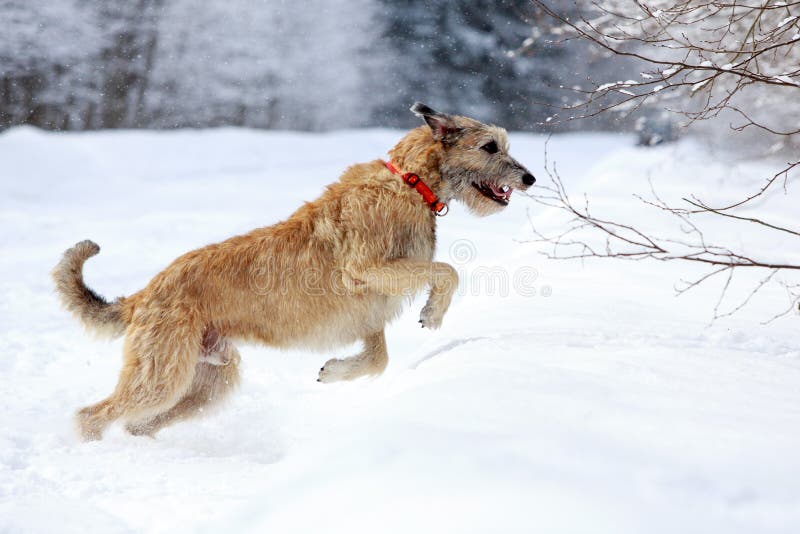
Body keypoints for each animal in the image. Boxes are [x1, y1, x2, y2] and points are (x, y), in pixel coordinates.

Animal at [53, 102, 536, 442]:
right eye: (490, 147)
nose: (529, 178)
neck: (409, 182)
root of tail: (142, 295)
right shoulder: (368, 268)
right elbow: (447, 271)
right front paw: (433, 314)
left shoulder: (369, 309)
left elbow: (378, 360)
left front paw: (335, 371)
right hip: (162, 373)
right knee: (93, 415)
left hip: (209, 380)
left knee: (139, 423)